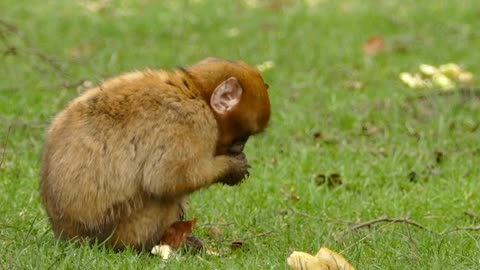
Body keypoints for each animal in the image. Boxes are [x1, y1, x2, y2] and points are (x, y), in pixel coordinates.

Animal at [39, 57, 272, 251]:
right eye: (242, 139)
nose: (240, 149)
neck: (194, 92)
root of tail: (67, 235)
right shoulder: (192, 122)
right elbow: (166, 179)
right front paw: (232, 168)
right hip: (124, 229)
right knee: (162, 196)